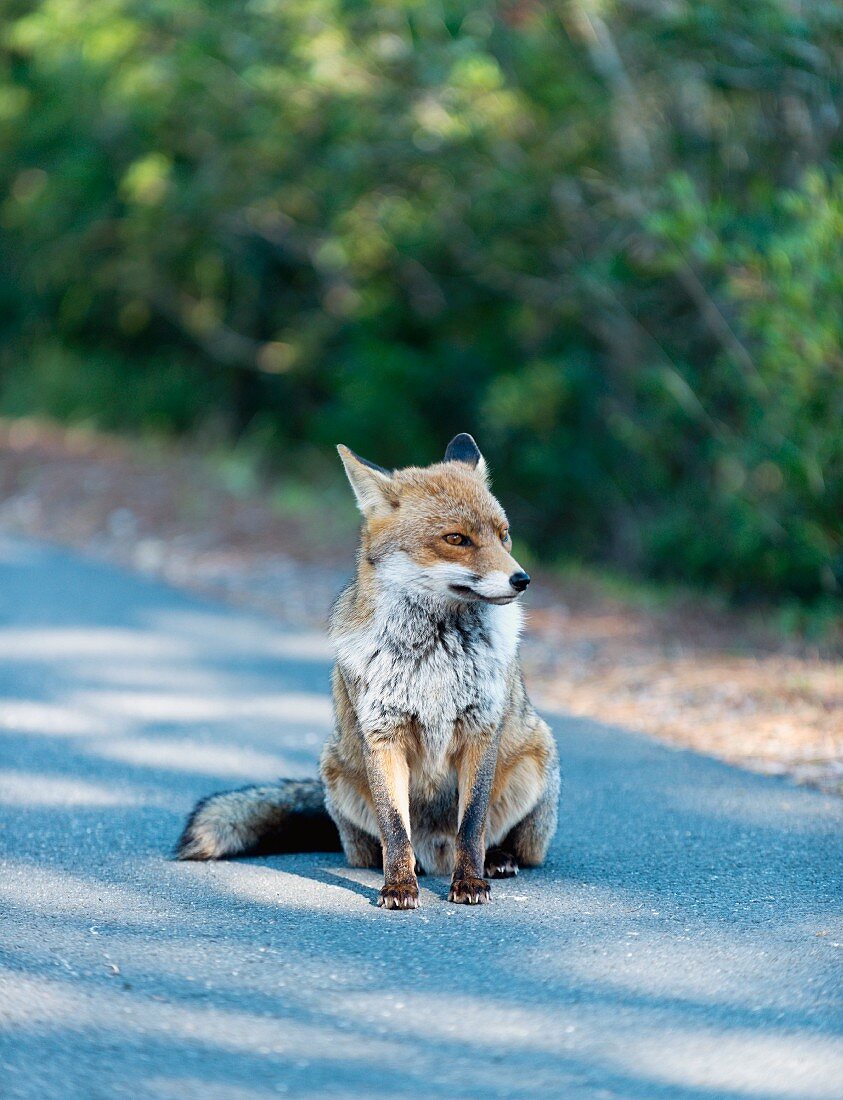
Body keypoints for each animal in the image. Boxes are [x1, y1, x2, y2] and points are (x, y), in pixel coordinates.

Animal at [178, 433, 561, 906]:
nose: (522, 579)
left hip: (535, 760)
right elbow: (394, 827)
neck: (434, 658)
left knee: (503, 841)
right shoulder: (382, 735)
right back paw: (408, 866)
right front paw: (398, 886)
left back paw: (497, 859)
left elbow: (472, 824)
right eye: (457, 538)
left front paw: (469, 882)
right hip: (337, 772)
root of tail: (436, 852)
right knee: (378, 846)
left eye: (504, 536)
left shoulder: (480, 731)